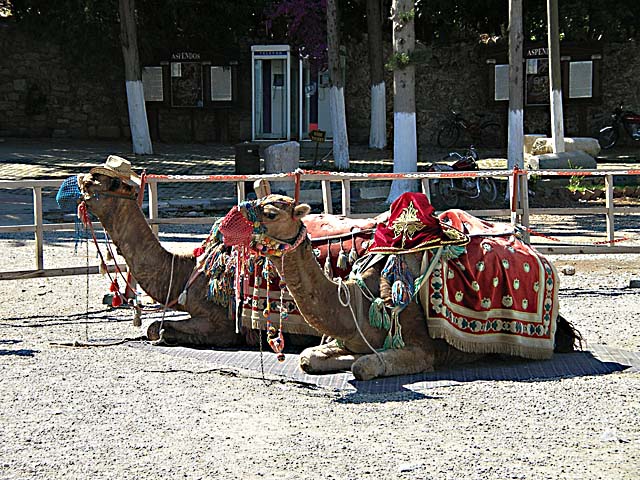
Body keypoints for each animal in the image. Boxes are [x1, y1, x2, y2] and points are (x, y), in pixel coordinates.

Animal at [220, 191, 579, 381]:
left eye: (270, 212)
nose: (226, 226)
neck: (357, 303)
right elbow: (310, 357)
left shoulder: (422, 347)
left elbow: (365, 367)